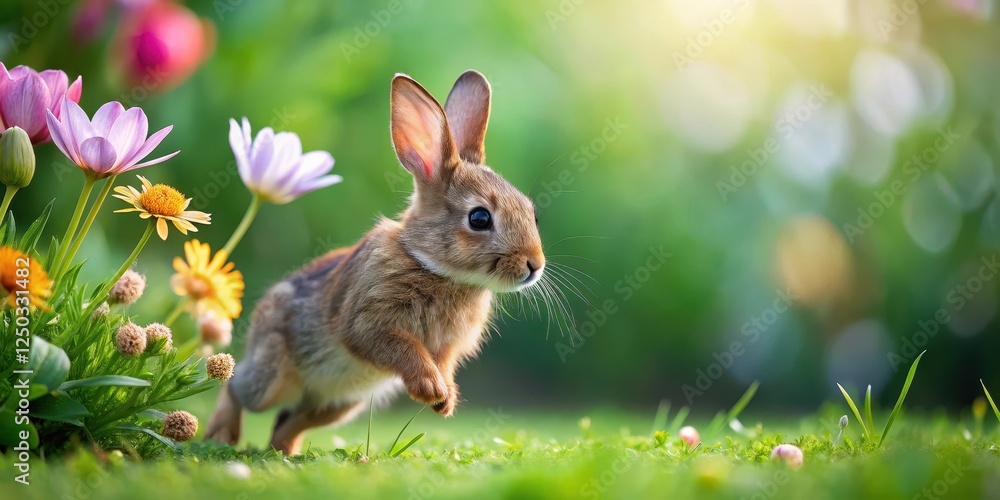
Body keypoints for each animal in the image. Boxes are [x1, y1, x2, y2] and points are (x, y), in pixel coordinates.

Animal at [205, 70, 546, 455]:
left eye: (532, 213)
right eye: (479, 218)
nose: (534, 265)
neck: (432, 265)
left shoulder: (446, 348)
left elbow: (443, 363)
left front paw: (445, 400)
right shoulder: (370, 321)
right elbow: (402, 347)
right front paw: (431, 389)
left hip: (340, 405)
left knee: (289, 422)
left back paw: (286, 452)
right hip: (272, 374)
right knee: (238, 390)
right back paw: (221, 433)